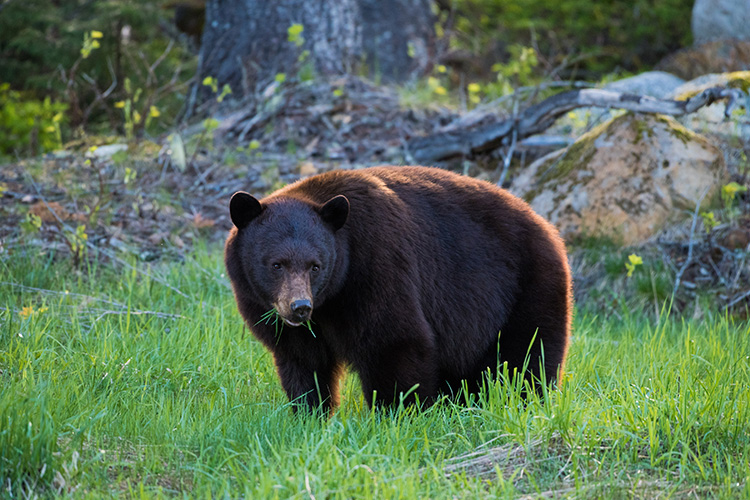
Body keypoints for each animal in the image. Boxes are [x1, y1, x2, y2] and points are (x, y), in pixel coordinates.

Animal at [226, 166, 572, 412]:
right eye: (277, 264)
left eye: (315, 265)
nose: (300, 307)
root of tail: (549, 228)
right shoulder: (276, 315)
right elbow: (303, 362)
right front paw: (311, 413)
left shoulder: (377, 266)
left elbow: (394, 340)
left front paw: (395, 414)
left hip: (528, 287)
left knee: (528, 356)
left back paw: (524, 401)